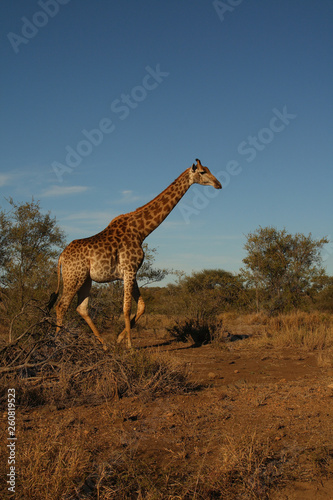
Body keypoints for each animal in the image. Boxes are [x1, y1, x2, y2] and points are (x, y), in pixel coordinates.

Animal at [47, 159, 220, 348]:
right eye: (203, 172)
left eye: (208, 169)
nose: (218, 184)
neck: (141, 231)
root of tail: (61, 257)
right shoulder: (129, 269)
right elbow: (126, 307)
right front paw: (130, 346)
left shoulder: (132, 272)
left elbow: (142, 306)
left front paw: (119, 339)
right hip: (74, 277)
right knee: (61, 306)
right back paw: (57, 342)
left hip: (85, 279)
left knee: (81, 308)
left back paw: (104, 345)